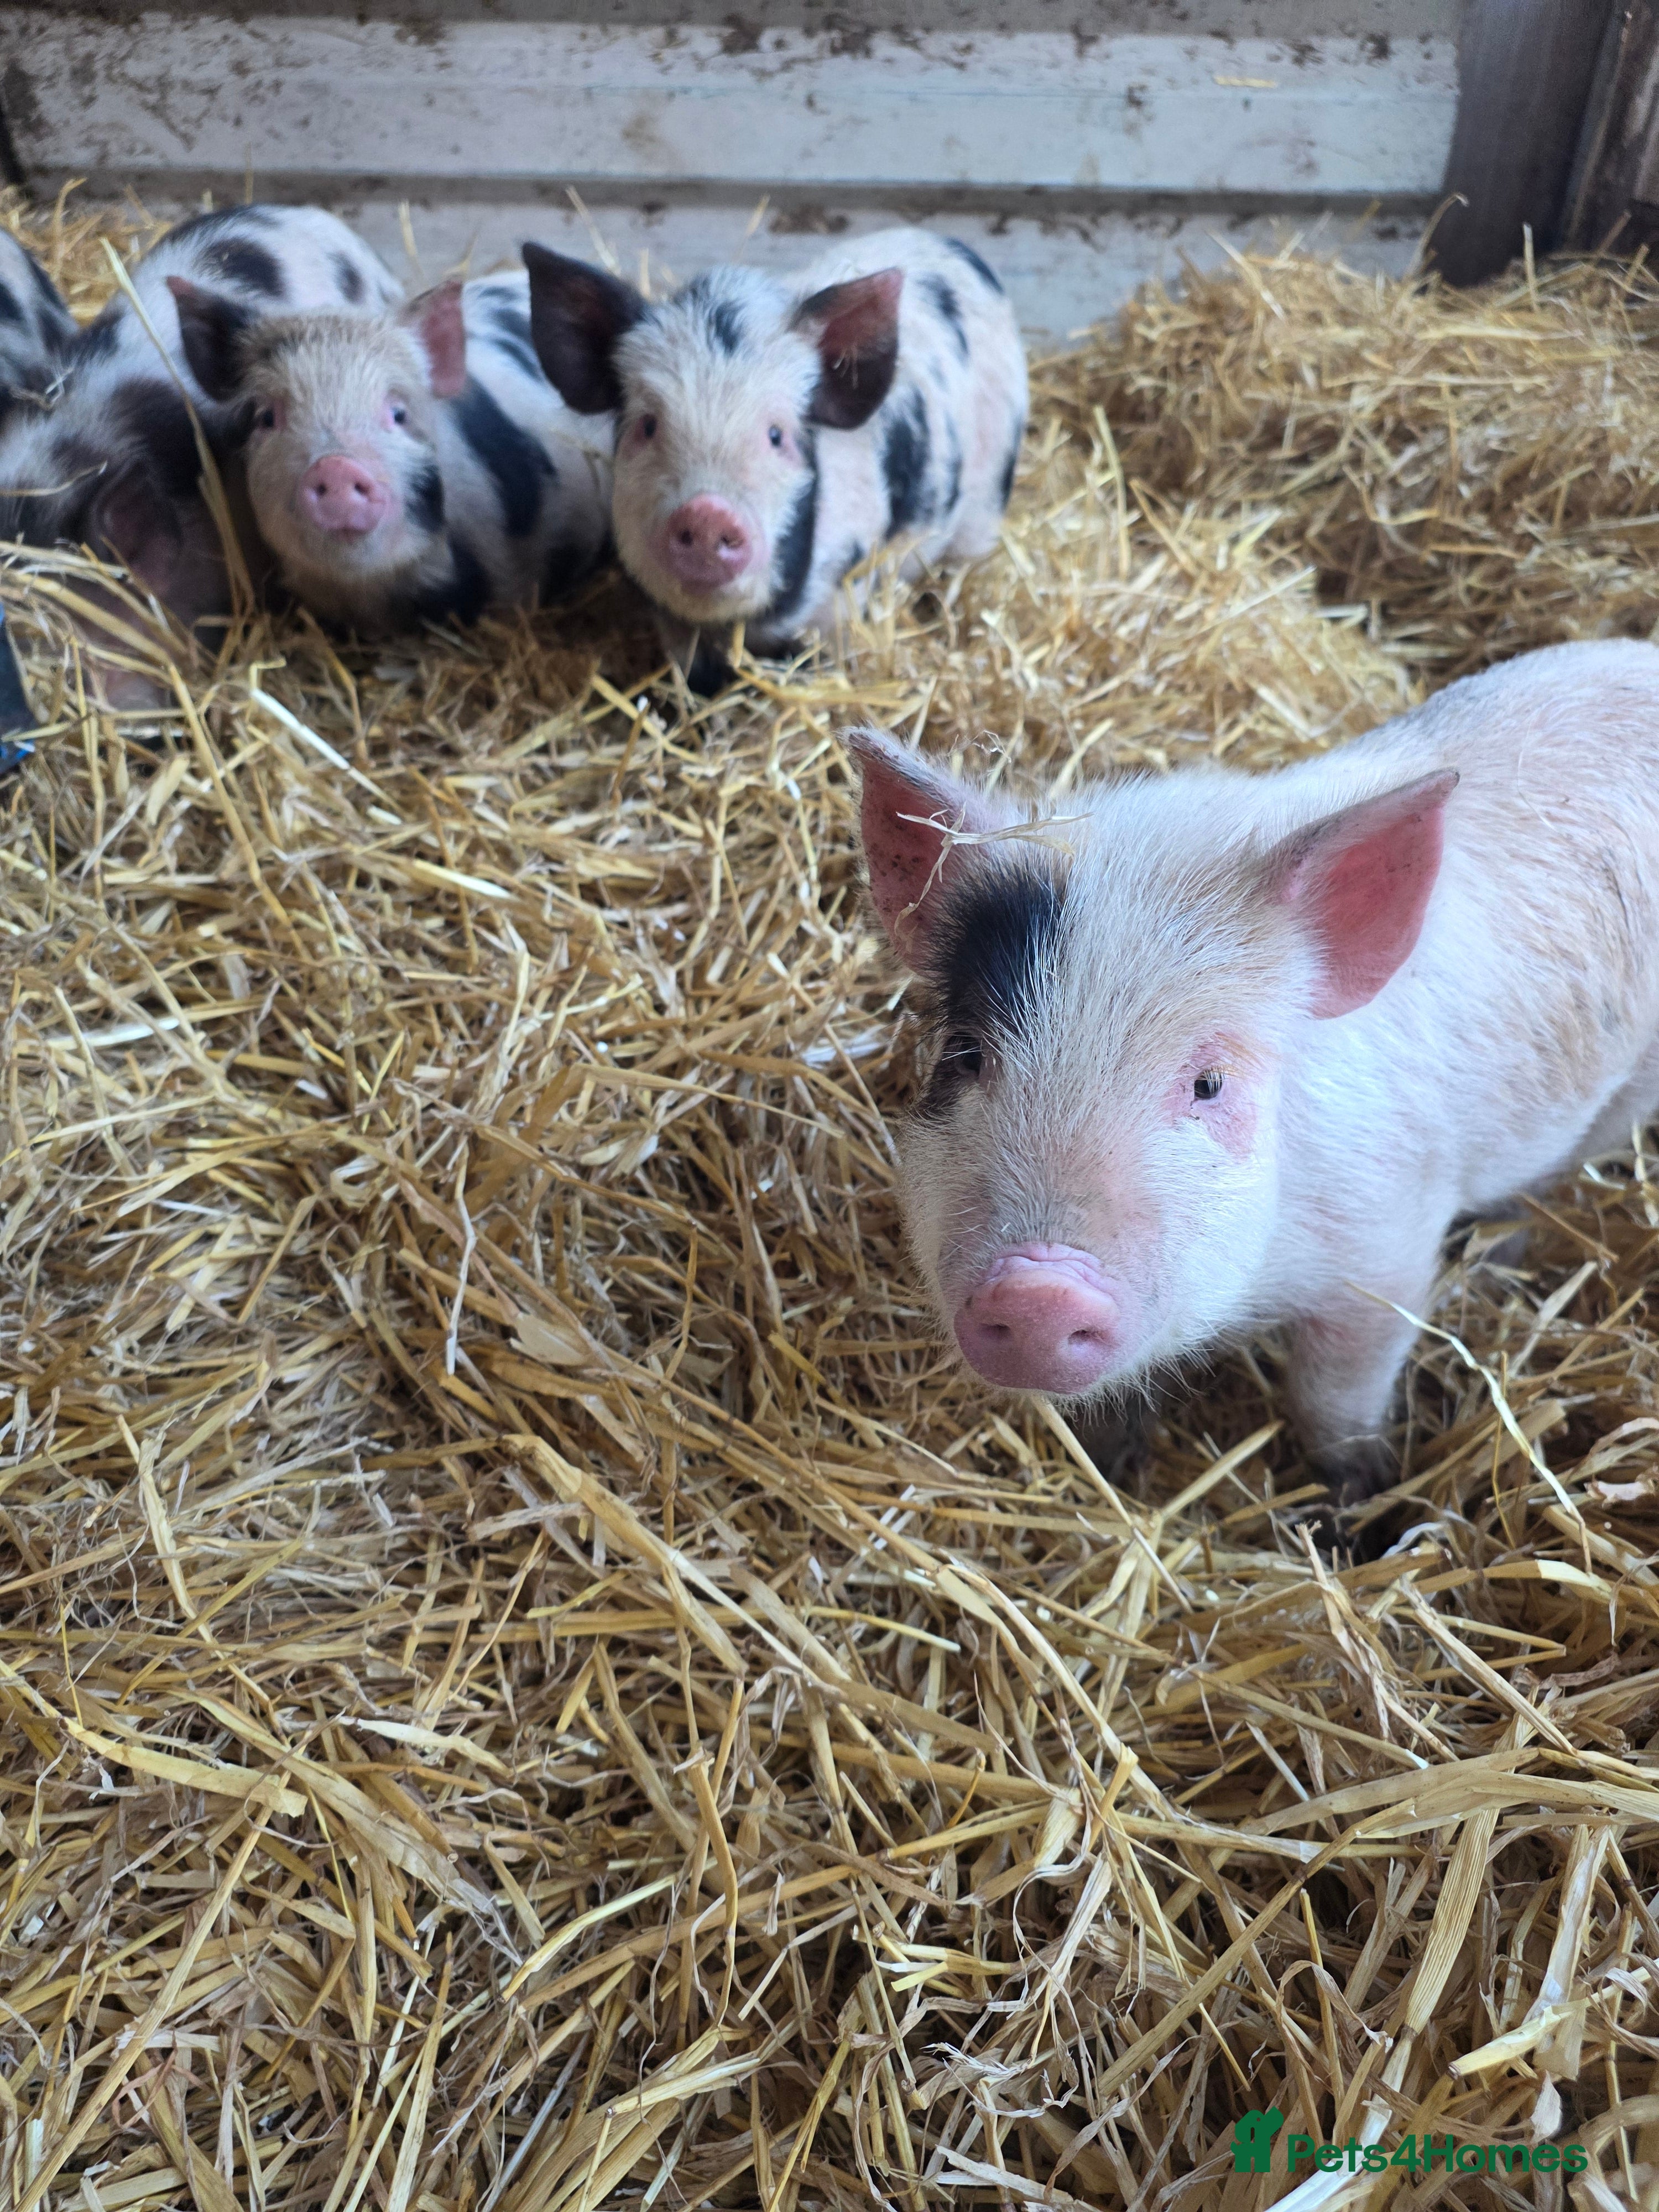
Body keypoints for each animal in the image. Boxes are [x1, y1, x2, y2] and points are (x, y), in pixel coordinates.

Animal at [523, 227, 1026, 689]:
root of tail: (957, 246)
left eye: (776, 435)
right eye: (648, 426)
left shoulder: (846, 590)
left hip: (987, 497)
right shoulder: (672, 621)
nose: (708, 512)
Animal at [851, 639, 1659, 1519]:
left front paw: (1354, 1501)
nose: (1036, 1290)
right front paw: (1116, 1467)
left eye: (1210, 1083)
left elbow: (1336, 1397)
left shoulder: (1387, 1250)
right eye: (966, 1052)